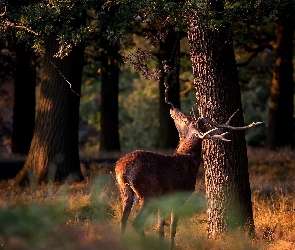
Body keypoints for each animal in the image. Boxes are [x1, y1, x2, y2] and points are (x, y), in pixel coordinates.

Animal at [115, 102, 264, 250]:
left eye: (185, 119)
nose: (172, 108)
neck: (190, 160)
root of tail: (123, 170)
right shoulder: (180, 195)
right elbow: (172, 227)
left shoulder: (163, 199)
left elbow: (160, 227)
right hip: (148, 194)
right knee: (136, 223)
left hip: (125, 192)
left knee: (122, 221)